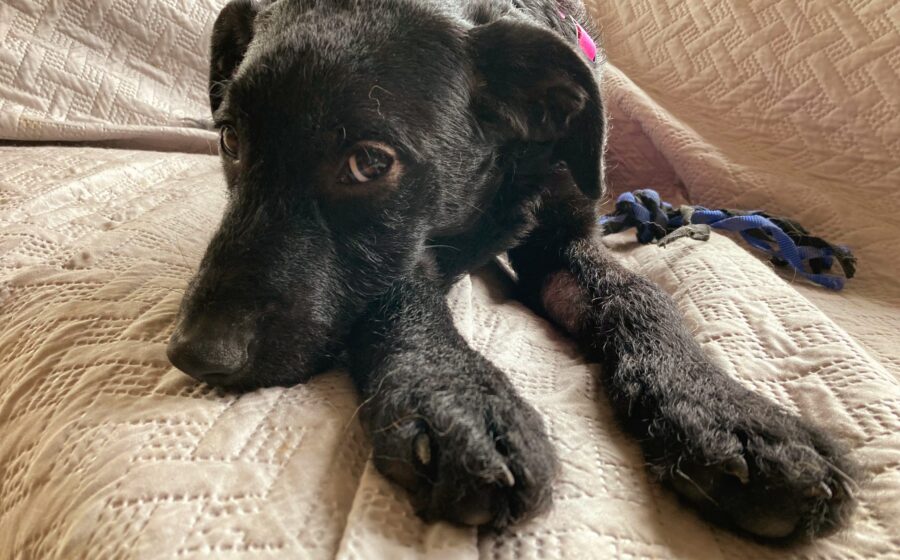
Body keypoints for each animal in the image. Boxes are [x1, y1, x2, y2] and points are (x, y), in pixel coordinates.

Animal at [166, 0, 857, 541]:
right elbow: (399, 292)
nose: (194, 354)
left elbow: (637, 296)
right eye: (230, 140)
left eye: (369, 162)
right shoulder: (411, 254)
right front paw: (456, 397)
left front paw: (728, 415)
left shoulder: (562, 236)